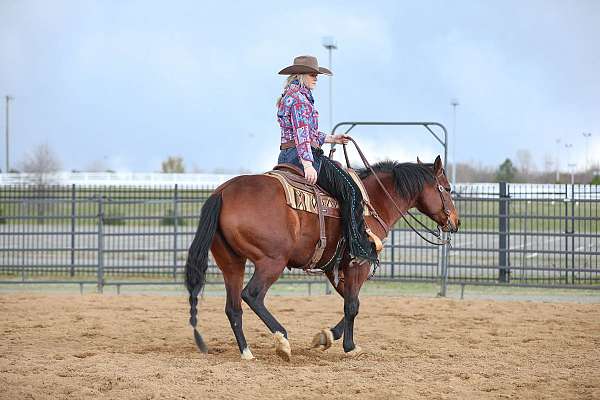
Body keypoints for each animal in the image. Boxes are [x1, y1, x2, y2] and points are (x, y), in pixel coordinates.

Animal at [185, 155, 462, 360]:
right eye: (448, 188)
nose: (456, 222)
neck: (371, 203)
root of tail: (222, 193)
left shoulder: (334, 268)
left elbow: (352, 302)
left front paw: (326, 336)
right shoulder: (358, 265)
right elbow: (353, 305)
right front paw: (350, 346)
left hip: (232, 263)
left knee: (233, 307)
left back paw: (247, 352)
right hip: (272, 261)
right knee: (252, 295)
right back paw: (282, 340)